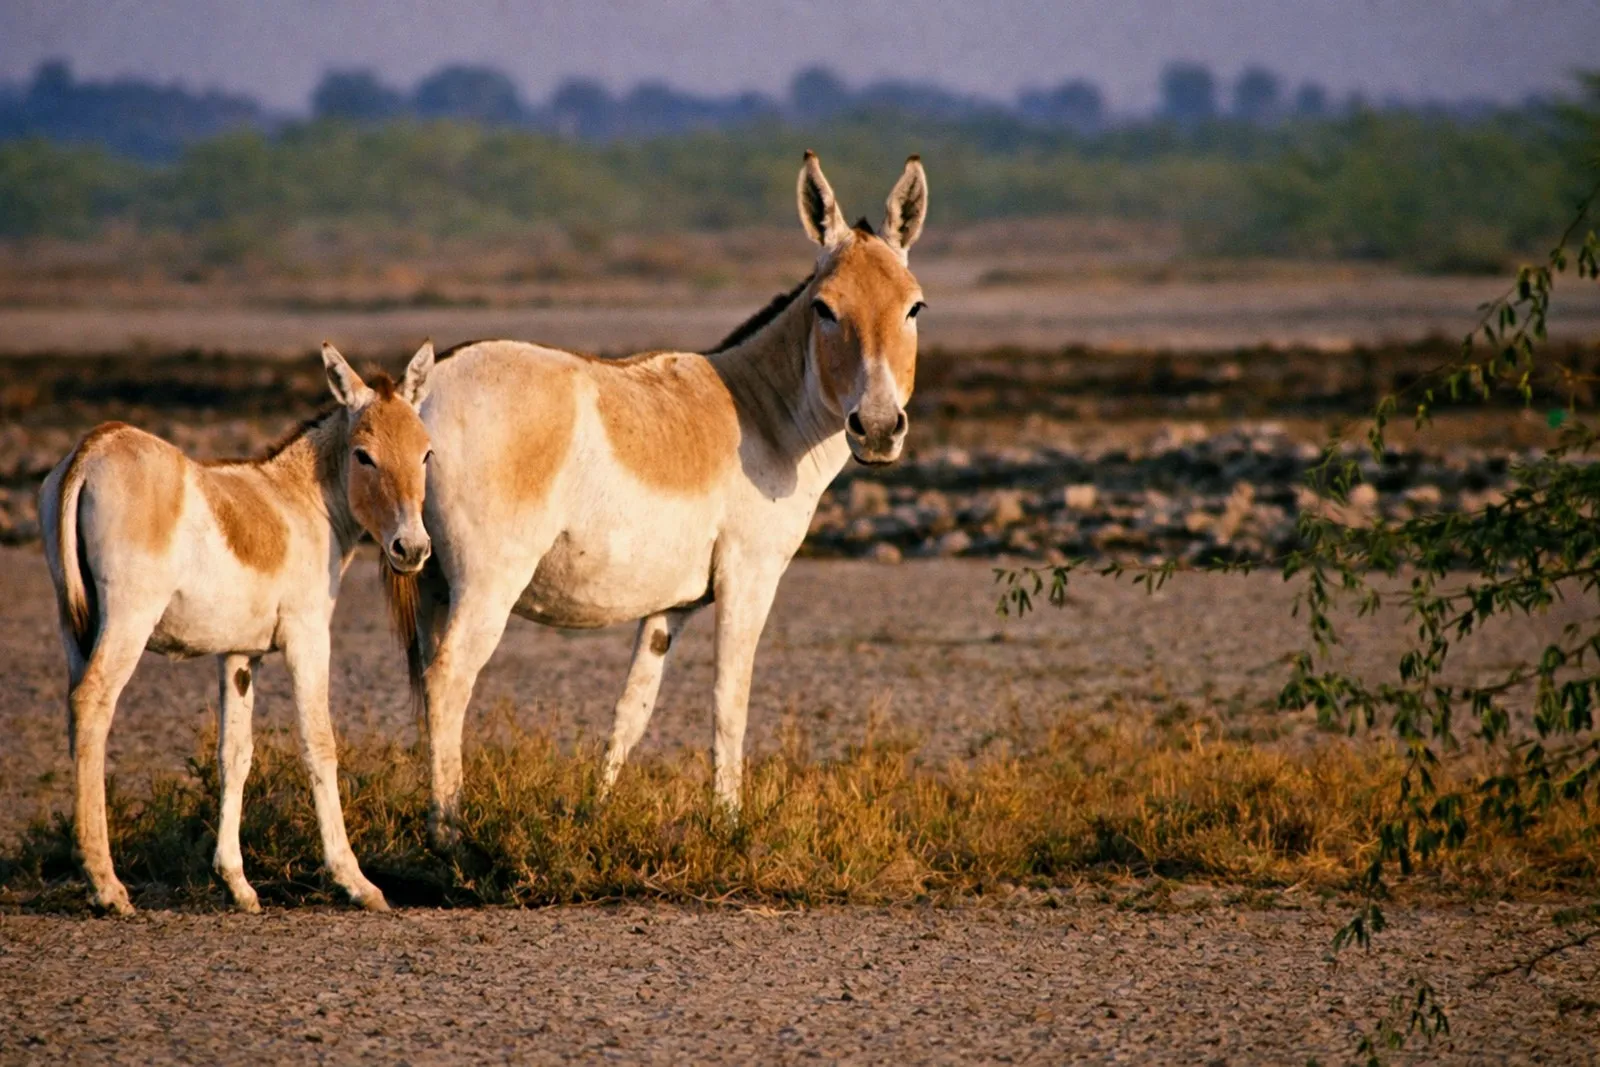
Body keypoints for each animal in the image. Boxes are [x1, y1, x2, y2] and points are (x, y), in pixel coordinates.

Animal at [38, 342, 436, 914]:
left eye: (425, 454)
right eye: (364, 454)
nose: (412, 549)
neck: (305, 501)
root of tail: (92, 448)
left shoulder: (240, 655)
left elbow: (235, 755)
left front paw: (238, 884)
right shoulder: (308, 638)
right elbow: (320, 744)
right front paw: (357, 882)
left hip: (74, 621)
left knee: (74, 710)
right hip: (128, 618)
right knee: (93, 703)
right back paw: (106, 884)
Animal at [387, 152, 928, 838]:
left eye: (914, 308)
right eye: (825, 309)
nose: (878, 429)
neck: (766, 413)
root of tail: (420, 397)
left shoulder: (670, 606)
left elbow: (632, 710)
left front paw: (594, 812)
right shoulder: (749, 578)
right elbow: (729, 700)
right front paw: (729, 825)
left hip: (431, 581)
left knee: (428, 679)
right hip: (488, 581)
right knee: (449, 679)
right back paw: (448, 833)